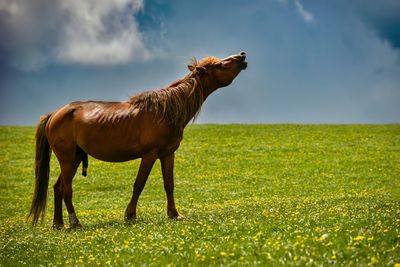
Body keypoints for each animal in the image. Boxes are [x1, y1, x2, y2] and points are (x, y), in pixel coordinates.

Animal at [28, 51, 247, 228]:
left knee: (57, 188)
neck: (166, 111)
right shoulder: (149, 155)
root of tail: (54, 114)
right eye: (219, 65)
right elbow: (139, 184)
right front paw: (130, 215)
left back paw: (58, 224)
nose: (242, 55)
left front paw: (174, 214)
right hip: (67, 159)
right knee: (66, 189)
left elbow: (169, 184)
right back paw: (74, 222)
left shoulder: (168, 154)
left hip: (74, 159)